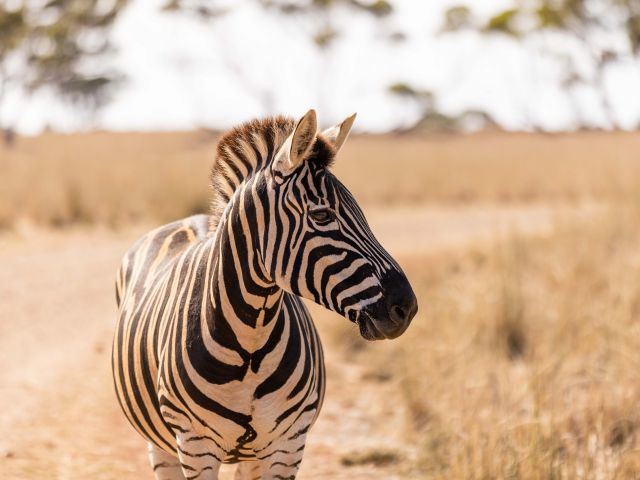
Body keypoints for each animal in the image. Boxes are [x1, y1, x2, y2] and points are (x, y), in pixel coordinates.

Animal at [112, 109, 418, 480]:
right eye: (321, 215)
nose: (407, 307)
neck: (250, 343)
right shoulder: (196, 445)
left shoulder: (288, 444)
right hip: (161, 444)